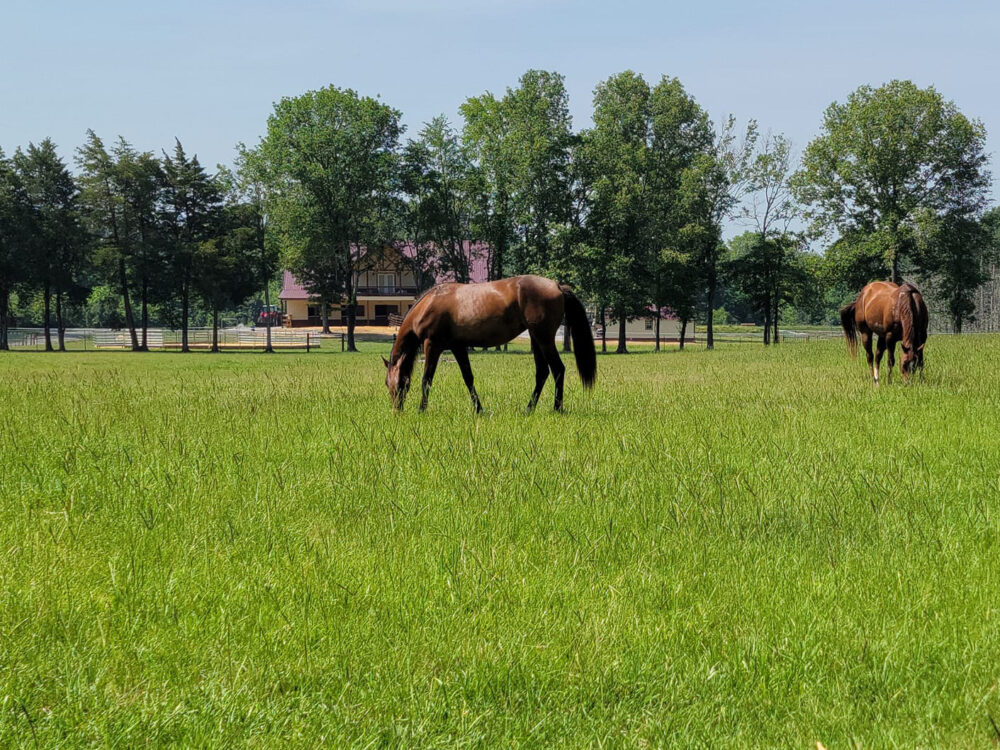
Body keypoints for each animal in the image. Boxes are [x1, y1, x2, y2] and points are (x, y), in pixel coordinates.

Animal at [384, 276, 592, 414]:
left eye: (399, 382)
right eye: (387, 383)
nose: (396, 411)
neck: (429, 303)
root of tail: (557, 286)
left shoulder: (432, 345)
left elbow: (426, 379)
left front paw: (421, 410)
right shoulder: (458, 347)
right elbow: (468, 378)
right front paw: (478, 409)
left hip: (544, 339)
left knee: (558, 369)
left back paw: (556, 408)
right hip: (536, 339)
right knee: (542, 372)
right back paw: (529, 409)